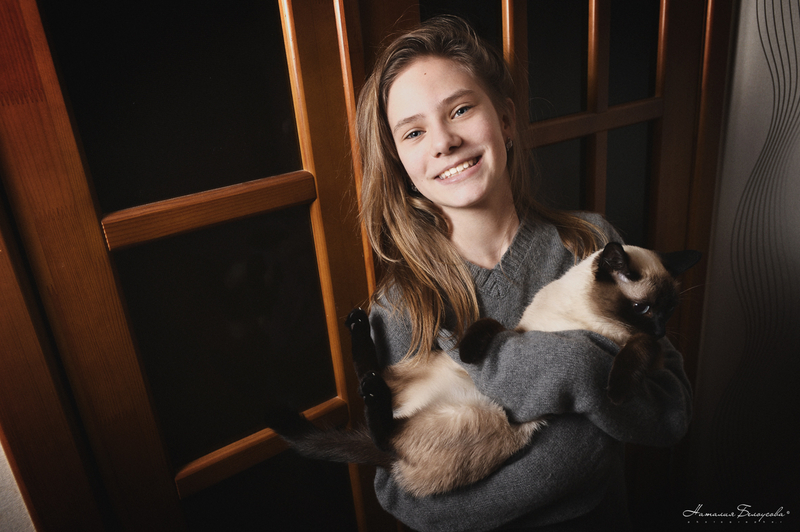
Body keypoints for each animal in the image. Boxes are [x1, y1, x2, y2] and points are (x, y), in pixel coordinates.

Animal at [268, 242, 700, 497]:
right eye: (644, 308)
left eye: (669, 309)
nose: (662, 330)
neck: (586, 317)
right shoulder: (520, 330)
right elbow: (487, 326)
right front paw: (471, 351)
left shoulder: (650, 357)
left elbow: (635, 351)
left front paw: (615, 390)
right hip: (434, 377)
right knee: (374, 403)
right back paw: (360, 330)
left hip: (468, 418)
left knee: (382, 429)